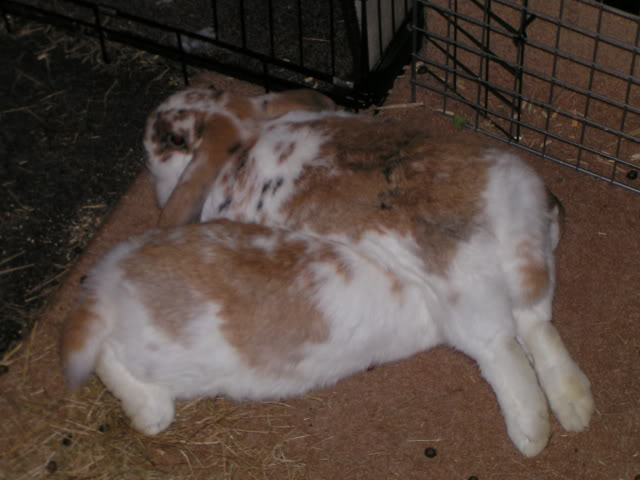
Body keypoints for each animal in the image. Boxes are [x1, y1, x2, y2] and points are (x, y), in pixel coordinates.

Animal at [62, 83, 592, 458]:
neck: (247, 139)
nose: (148, 127)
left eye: (170, 136)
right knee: (537, 323)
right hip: (527, 267)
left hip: (462, 290)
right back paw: (575, 405)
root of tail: (506, 212)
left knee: (501, 345)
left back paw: (532, 430)